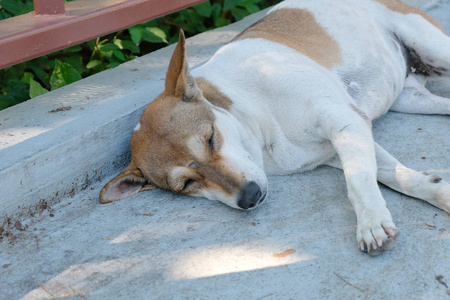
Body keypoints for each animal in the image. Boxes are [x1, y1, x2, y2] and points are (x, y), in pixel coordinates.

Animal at [99, 0, 450, 255]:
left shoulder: (346, 123)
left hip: (435, 50)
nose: (250, 197)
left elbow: (359, 181)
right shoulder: (340, 145)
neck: (260, 122)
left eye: (210, 139)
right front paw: (437, 192)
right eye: (187, 184)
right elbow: (396, 176)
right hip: (411, 98)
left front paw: (371, 223)